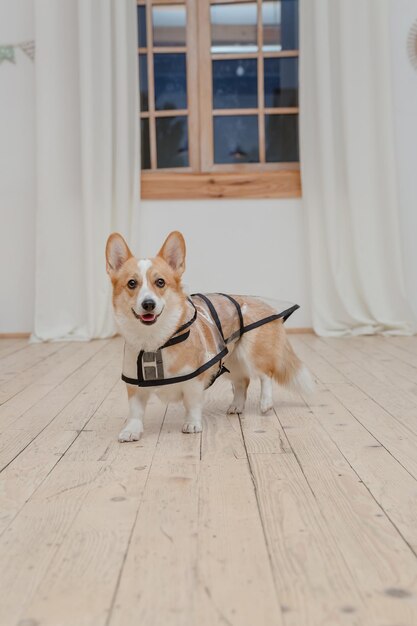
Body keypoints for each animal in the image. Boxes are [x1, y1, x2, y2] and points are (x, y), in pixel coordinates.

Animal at [105, 232, 314, 442]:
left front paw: (192, 424)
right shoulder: (135, 387)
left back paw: (266, 402)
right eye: (132, 283)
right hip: (232, 359)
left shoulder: (195, 382)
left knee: (265, 374)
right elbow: (135, 411)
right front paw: (131, 430)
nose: (148, 304)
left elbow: (192, 404)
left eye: (160, 282)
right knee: (243, 381)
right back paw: (237, 405)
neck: (155, 341)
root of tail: (263, 303)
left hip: (252, 353)